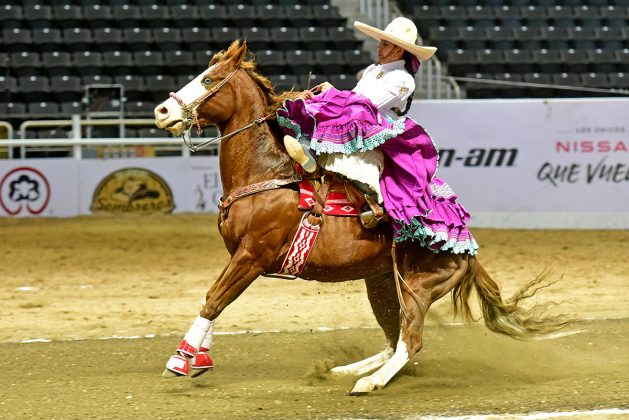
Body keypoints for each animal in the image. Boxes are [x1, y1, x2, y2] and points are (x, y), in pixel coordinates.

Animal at [153, 41, 568, 396]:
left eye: (208, 80)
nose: (162, 111)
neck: (267, 173)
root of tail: (466, 245)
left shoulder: (252, 256)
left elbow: (214, 300)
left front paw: (180, 359)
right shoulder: (237, 255)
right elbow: (215, 298)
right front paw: (200, 357)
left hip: (418, 286)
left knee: (410, 340)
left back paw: (369, 382)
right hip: (381, 282)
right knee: (393, 338)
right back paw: (343, 370)